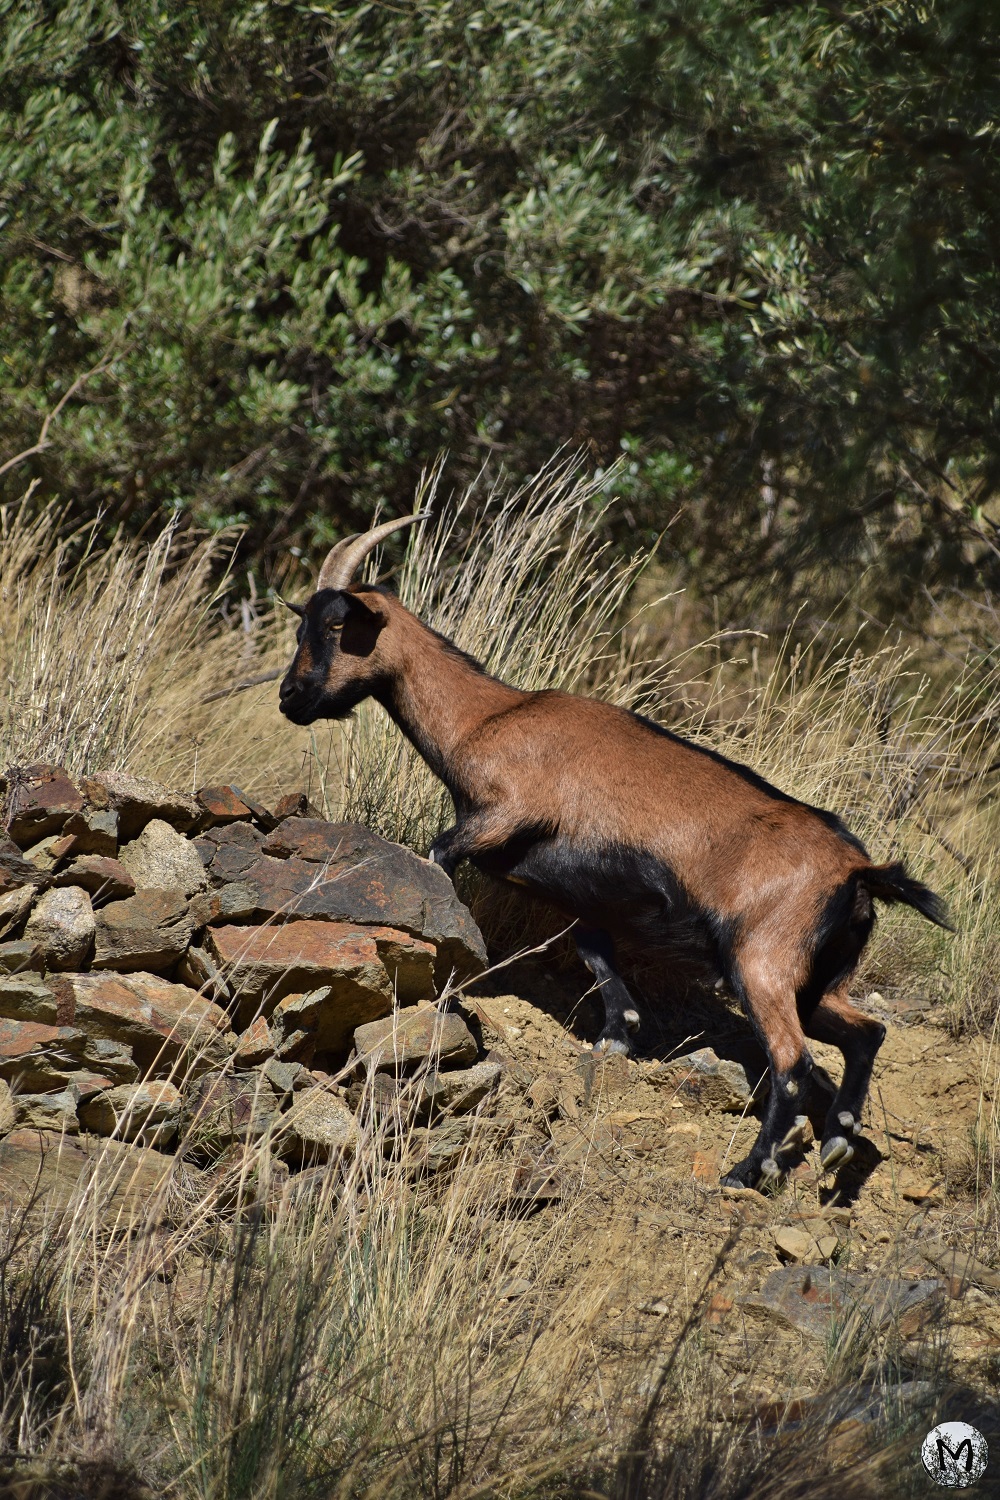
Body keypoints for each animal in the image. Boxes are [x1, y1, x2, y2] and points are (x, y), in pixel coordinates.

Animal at [278, 514, 951, 1188]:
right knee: (865, 1033)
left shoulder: (502, 816)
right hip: (816, 980)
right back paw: (836, 1140)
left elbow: (439, 856)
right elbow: (594, 951)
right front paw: (619, 1036)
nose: (290, 697)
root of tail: (858, 871)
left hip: (760, 962)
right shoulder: (585, 895)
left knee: (791, 1063)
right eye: (302, 623)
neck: (489, 718)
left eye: (336, 626)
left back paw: (746, 1170)